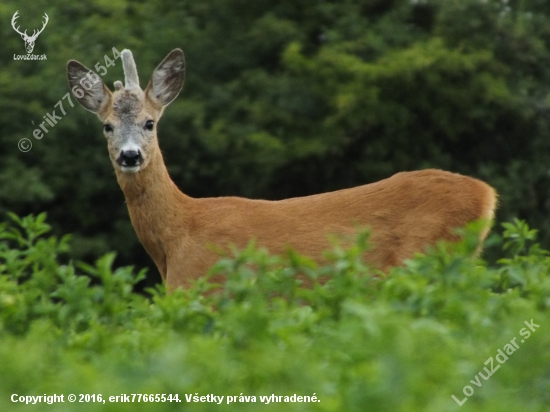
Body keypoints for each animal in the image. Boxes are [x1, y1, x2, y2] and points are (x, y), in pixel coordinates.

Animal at [68, 48, 500, 292]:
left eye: (150, 123)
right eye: (107, 126)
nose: (130, 156)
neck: (176, 239)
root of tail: (486, 194)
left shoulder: (208, 293)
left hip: (427, 259)